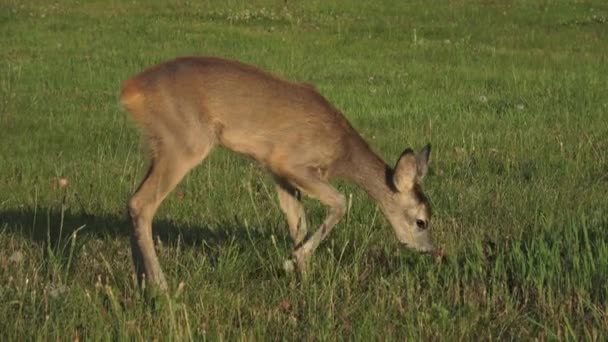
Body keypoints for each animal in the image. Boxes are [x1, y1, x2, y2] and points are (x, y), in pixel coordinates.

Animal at [120, 56, 432, 292]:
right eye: (421, 221)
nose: (429, 251)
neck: (342, 150)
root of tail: (130, 89)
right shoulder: (293, 163)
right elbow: (341, 202)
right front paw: (293, 261)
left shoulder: (277, 171)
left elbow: (298, 222)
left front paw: (304, 279)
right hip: (185, 140)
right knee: (142, 203)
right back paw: (160, 286)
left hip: (161, 146)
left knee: (132, 201)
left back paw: (141, 280)